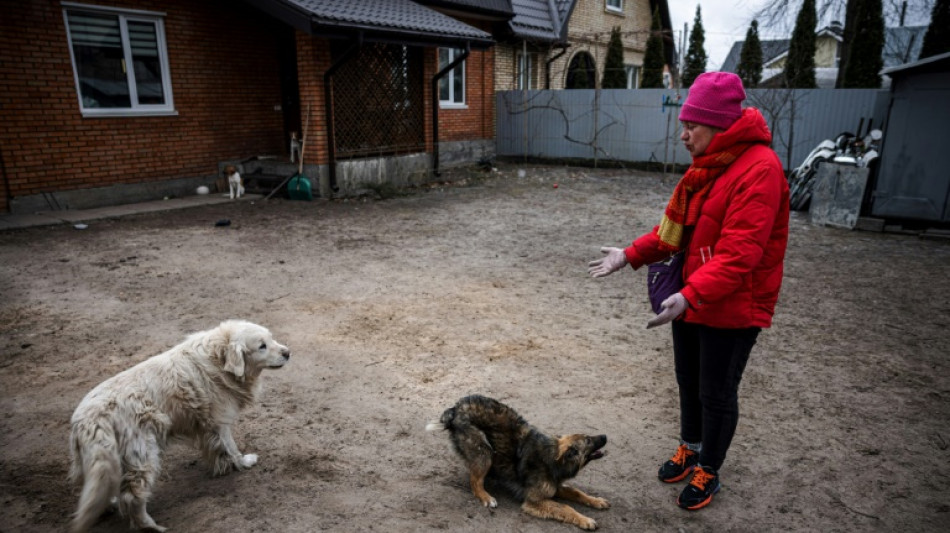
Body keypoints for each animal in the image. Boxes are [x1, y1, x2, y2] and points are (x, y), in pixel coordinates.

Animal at [68, 318, 290, 528]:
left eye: (271, 338)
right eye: (262, 346)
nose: (288, 353)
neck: (217, 358)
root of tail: (87, 419)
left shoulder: (208, 426)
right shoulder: (220, 421)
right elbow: (231, 448)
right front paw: (244, 462)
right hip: (143, 453)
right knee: (133, 496)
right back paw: (151, 526)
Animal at [426, 392, 608, 528]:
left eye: (588, 436)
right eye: (588, 441)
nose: (605, 436)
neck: (552, 459)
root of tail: (455, 408)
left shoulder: (555, 487)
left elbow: (577, 492)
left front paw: (596, 501)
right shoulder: (534, 501)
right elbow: (566, 507)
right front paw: (585, 520)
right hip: (485, 452)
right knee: (474, 482)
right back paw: (486, 497)